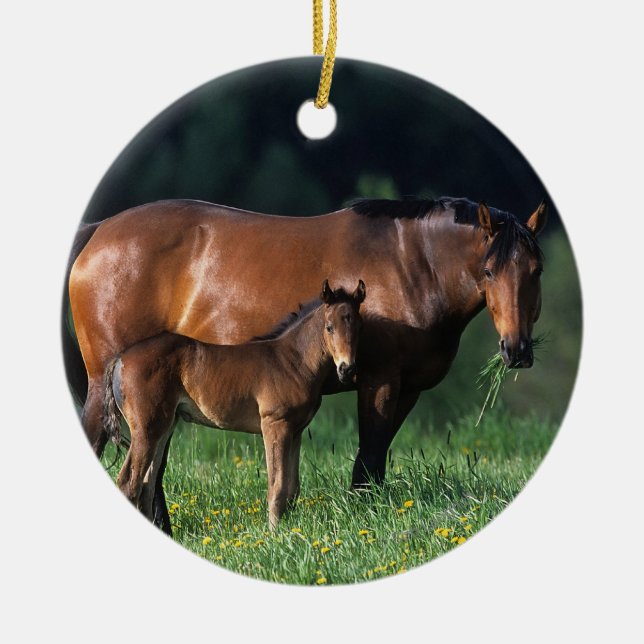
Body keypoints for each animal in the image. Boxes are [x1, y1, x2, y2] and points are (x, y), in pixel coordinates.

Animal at [102, 280, 365, 528]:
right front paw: (274, 534)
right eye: (329, 327)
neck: (293, 361)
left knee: (146, 483)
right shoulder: (275, 425)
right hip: (146, 429)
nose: (347, 369)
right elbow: (277, 485)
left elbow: (292, 488)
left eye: (358, 326)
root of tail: (120, 358)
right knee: (129, 482)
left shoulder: (296, 431)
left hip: (163, 427)